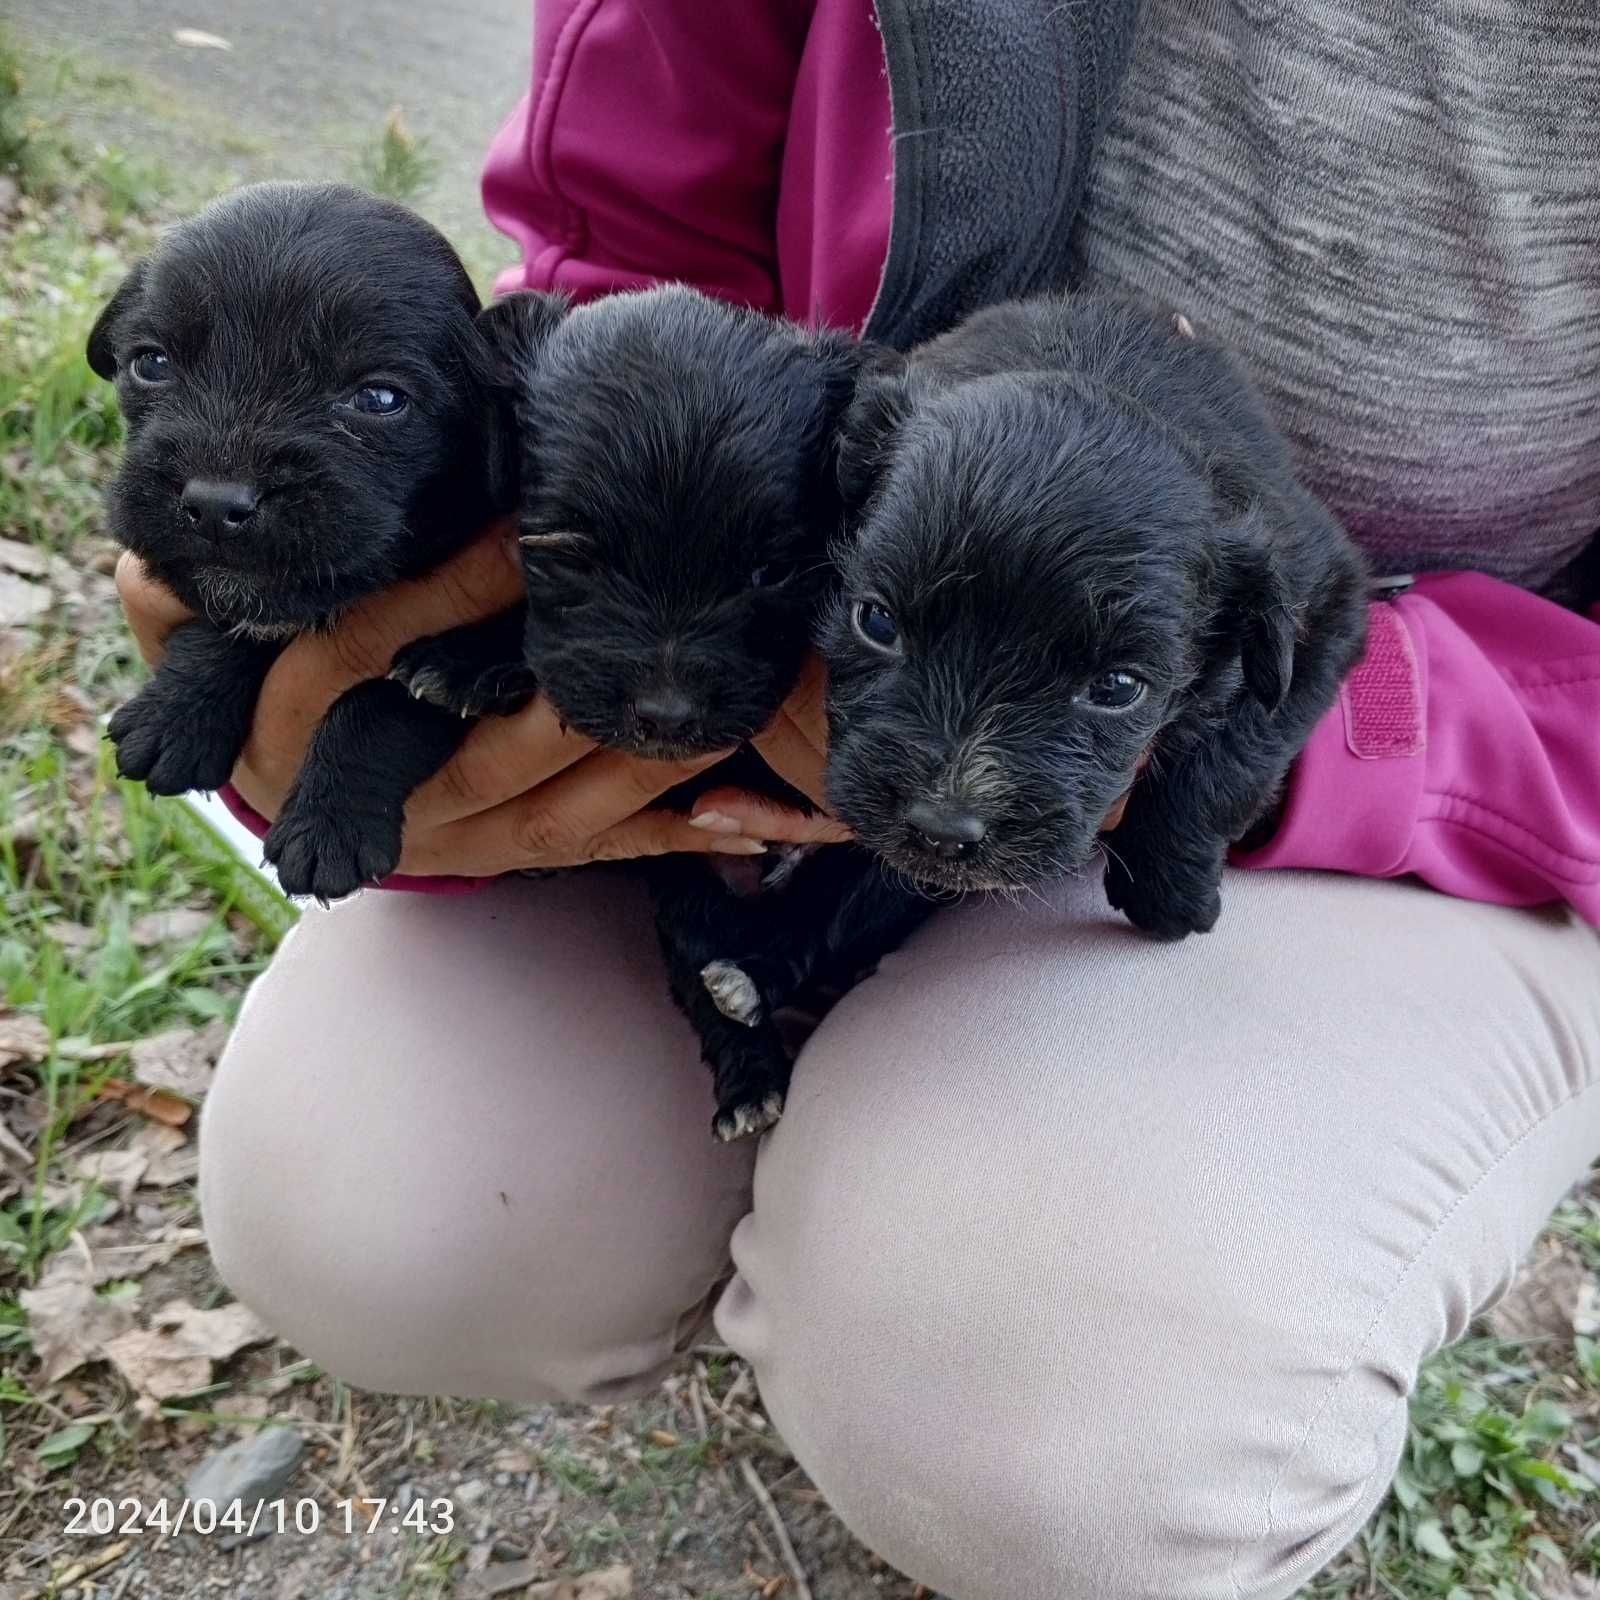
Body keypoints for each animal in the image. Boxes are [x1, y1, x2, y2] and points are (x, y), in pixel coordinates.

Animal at [86, 184, 505, 902]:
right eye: (151, 362)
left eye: (379, 398)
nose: (214, 504)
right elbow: (233, 624)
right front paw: (175, 715)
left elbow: (380, 699)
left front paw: (328, 825)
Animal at [392, 288, 934, 1139]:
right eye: (568, 554)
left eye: (771, 570)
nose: (668, 716)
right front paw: (465, 658)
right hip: (683, 882)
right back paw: (747, 1078)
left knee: (822, 919)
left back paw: (751, 990)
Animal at [819, 294, 1369, 934]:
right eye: (877, 623)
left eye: (1117, 688)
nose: (942, 831)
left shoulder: (1322, 604)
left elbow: (1234, 756)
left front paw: (1168, 886)